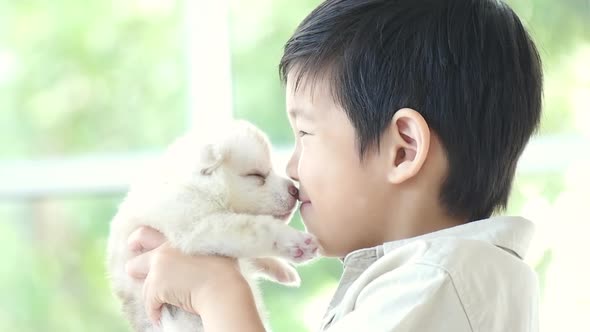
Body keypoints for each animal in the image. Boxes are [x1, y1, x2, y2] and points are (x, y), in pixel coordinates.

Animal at [106, 120, 320, 332]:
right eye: (256, 175)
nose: (294, 190)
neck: (198, 187)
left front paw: (283, 270)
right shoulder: (201, 226)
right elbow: (257, 229)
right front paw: (297, 245)